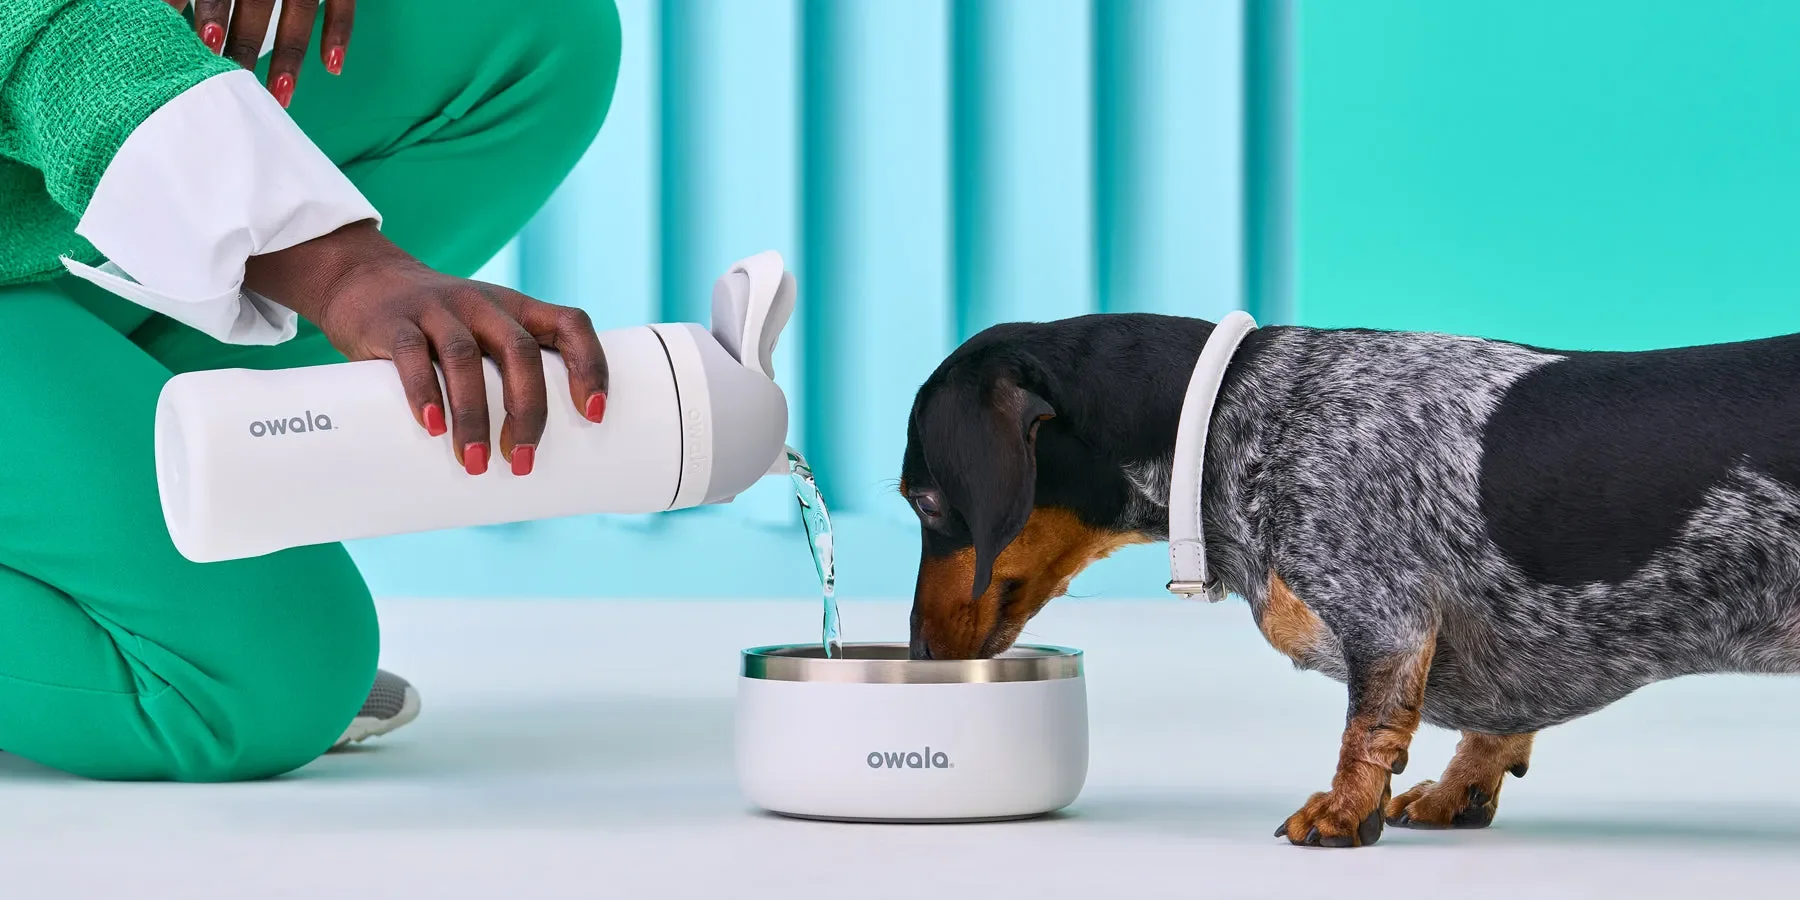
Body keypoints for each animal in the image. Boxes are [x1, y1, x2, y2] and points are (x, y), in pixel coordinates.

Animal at [907, 313, 1800, 846]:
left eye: (926, 501)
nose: (916, 658)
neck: (1227, 414)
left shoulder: (1387, 618)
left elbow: (1367, 725)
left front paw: (1341, 809)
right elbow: (1493, 727)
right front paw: (1457, 791)